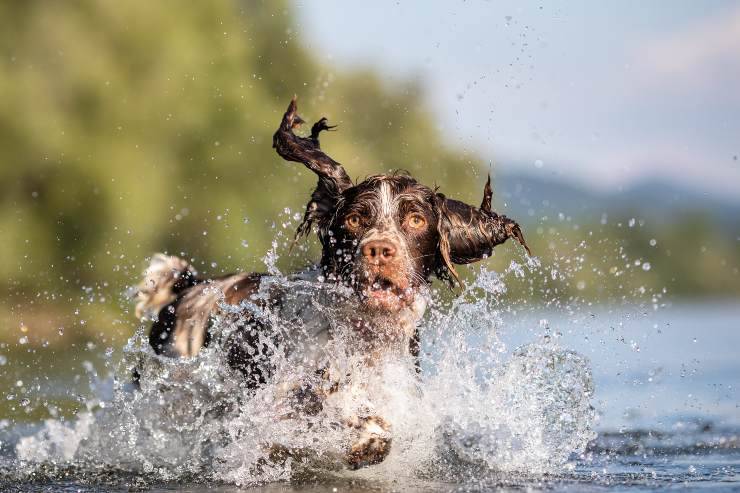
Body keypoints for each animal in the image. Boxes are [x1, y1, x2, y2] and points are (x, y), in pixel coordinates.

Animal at [133, 97, 528, 468]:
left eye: (416, 220)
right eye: (354, 219)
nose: (378, 250)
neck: (365, 335)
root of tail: (191, 285)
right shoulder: (283, 394)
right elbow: (330, 404)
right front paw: (364, 435)